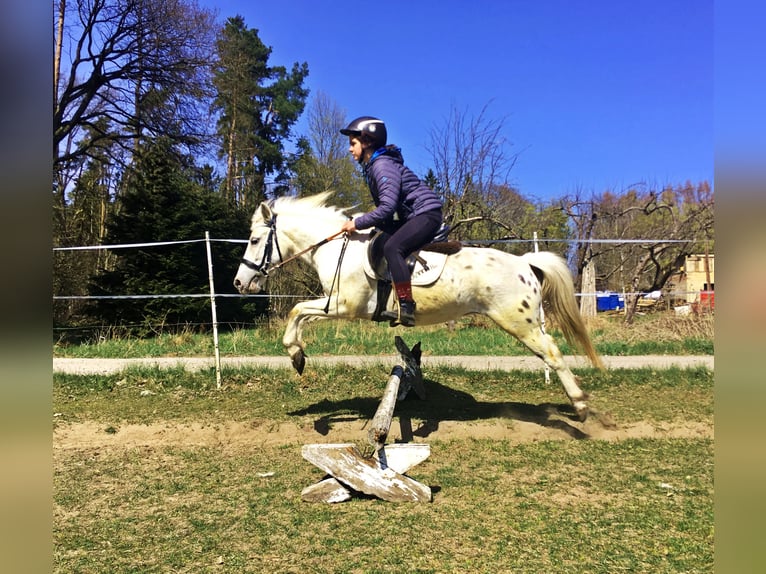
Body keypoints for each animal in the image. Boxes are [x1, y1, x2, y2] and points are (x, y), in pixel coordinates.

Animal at [234, 191, 608, 420]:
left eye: (254, 240)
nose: (239, 283)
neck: (337, 248)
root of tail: (525, 262)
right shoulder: (333, 305)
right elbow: (298, 315)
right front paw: (298, 356)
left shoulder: (343, 305)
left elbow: (296, 311)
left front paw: (296, 355)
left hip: (520, 323)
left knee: (553, 354)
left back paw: (580, 406)